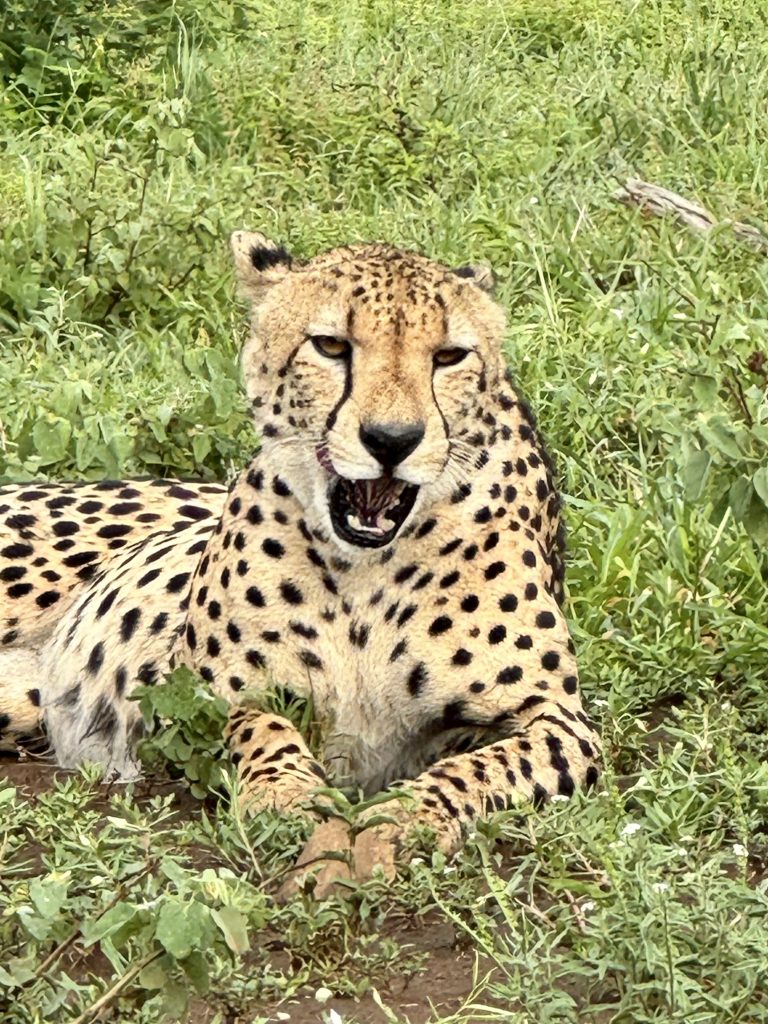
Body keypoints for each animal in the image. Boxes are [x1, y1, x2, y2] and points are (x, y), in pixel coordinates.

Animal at [0, 231, 601, 895]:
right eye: (331, 346)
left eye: (448, 356)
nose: (392, 440)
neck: (367, 568)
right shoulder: (203, 691)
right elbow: (262, 729)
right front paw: (287, 797)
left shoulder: (558, 722)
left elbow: (479, 767)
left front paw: (400, 822)